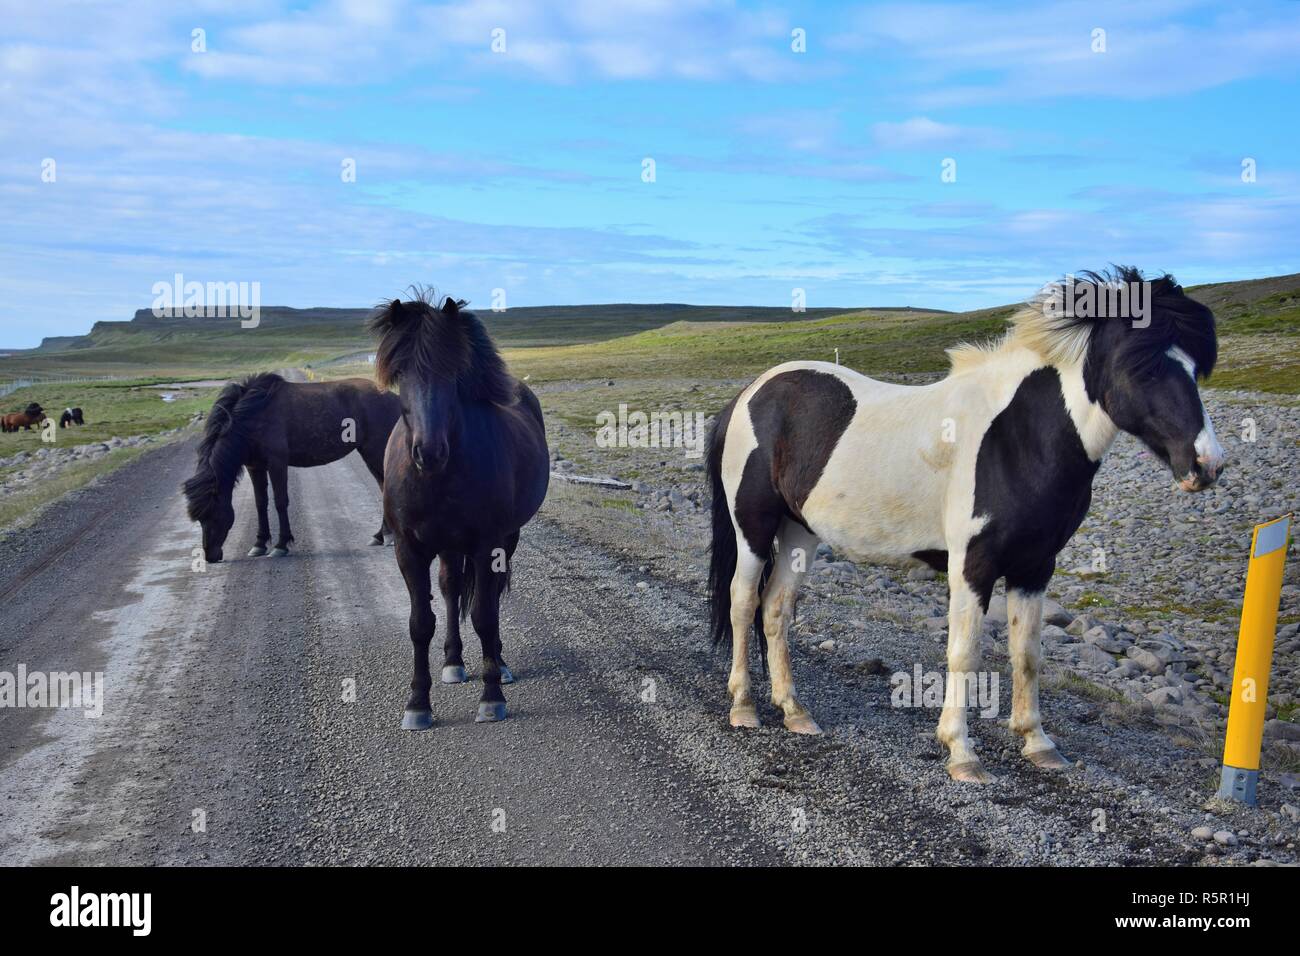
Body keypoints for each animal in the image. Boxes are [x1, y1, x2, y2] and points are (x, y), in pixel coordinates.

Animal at [183, 372, 401, 563]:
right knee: (382, 486)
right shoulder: (255, 467)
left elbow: (280, 502)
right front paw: (259, 544)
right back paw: (380, 535)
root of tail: (394, 398)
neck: (254, 414)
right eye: (200, 519)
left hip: (375, 451)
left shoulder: (277, 463)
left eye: (214, 513)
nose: (210, 556)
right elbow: (261, 503)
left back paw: (387, 536)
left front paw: (281, 545)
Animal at [369, 291, 549, 730]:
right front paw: (418, 703)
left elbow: (485, 613)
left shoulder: (487, 545)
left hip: (507, 538)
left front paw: (492, 696)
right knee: (451, 588)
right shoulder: (408, 549)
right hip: (449, 545)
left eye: (452, 373)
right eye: (401, 372)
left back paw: (498, 662)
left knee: (491, 595)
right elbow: (420, 623)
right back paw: (453, 661)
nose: (430, 452)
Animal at [706, 267, 1224, 784]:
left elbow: (1027, 654)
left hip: (799, 532)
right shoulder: (973, 565)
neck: (1017, 437)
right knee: (742, 601)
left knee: (775, 609)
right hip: (753, 527)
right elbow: (964, 652)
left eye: (1196, 368)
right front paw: (961, 751)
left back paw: (794, 711)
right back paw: (744, 706)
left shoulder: (1035, 567)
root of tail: (752, 391)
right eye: (1143, 367)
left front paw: (1037, 741)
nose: (1207, 464)